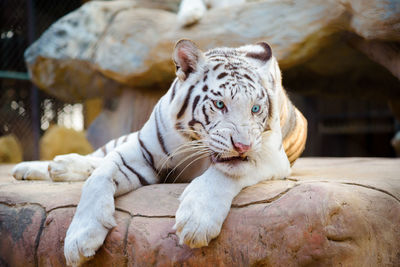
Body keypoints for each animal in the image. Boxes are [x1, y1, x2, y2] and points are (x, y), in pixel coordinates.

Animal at [11, 39, 306, 266]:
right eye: (220, 104)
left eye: (256, 108)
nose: (243, 145)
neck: (195, 142)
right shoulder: (139, 150)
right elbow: (99, 177)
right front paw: (78, 239)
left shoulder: (269, 155)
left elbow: (227, 170)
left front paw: (196, 221)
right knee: (98, 157)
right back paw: (41, 167)